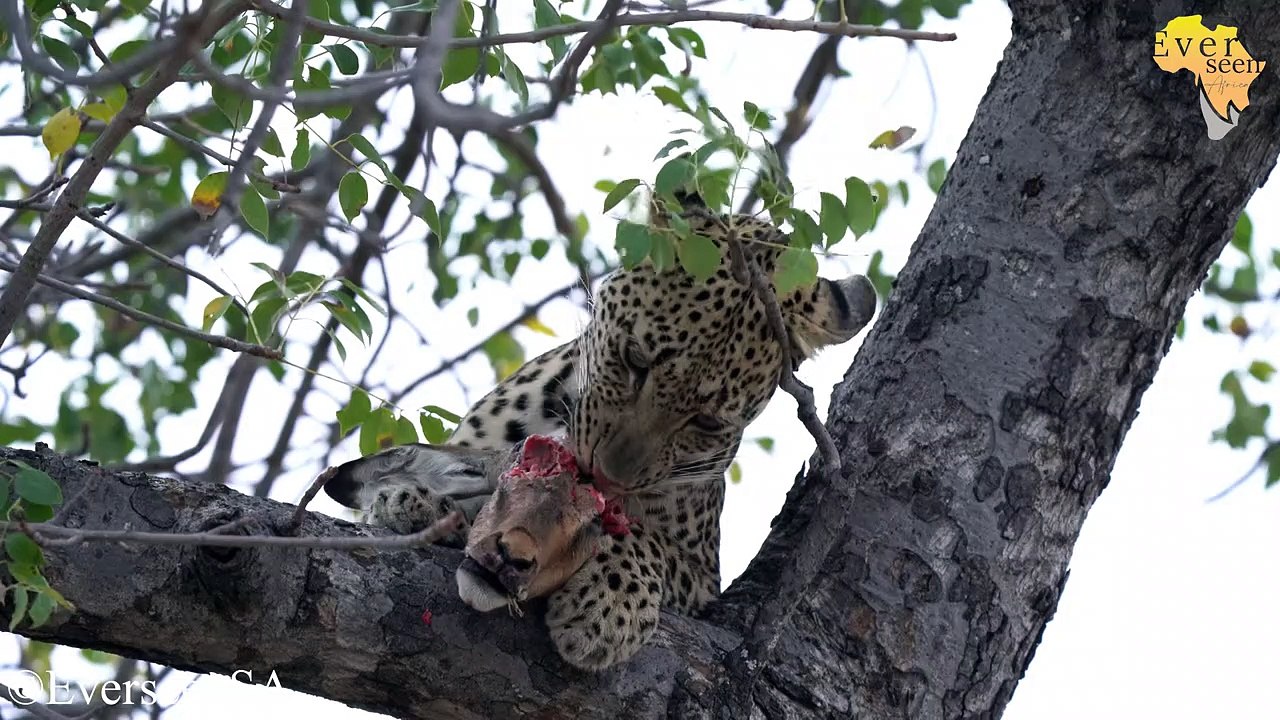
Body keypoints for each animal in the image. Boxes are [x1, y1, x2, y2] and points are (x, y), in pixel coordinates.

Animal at [324, 194, 877, 670]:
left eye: (708, 421)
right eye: (635, 359)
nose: (602, 474)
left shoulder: (704, 579)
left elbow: (643, 539)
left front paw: (608, 603)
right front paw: (413, 499)